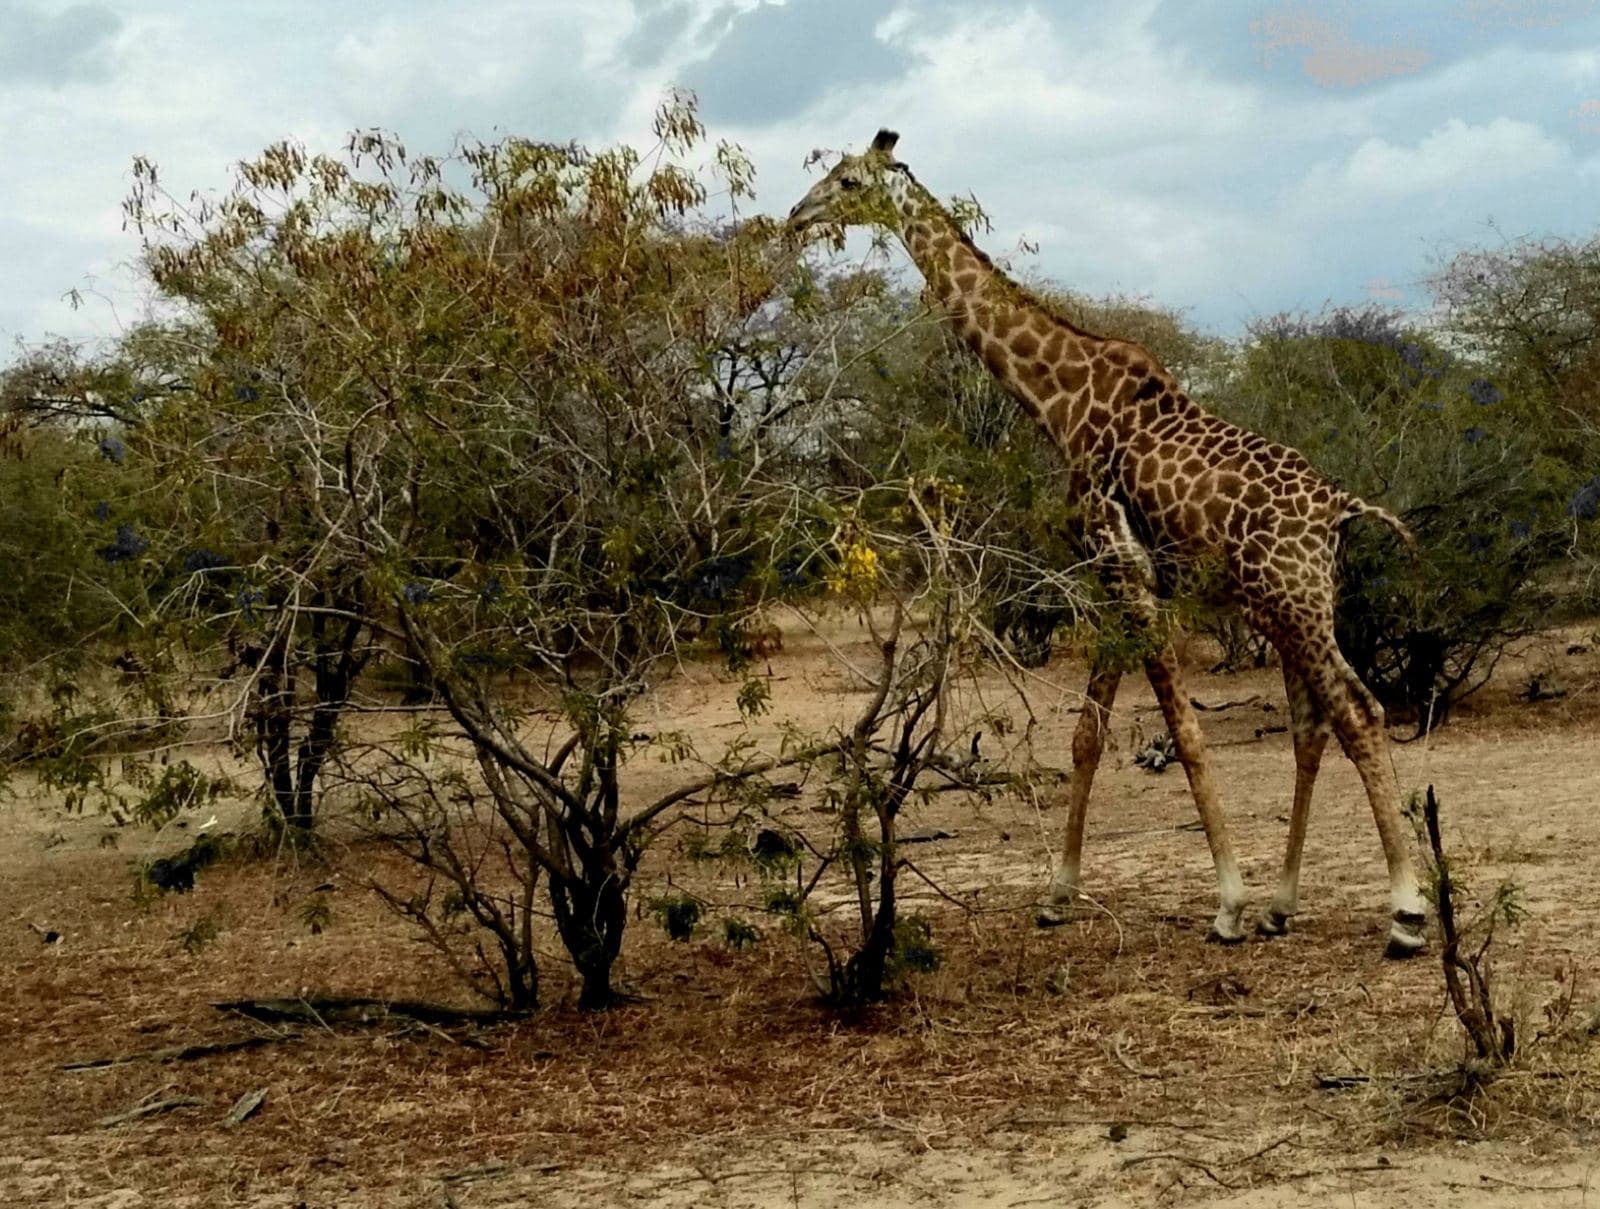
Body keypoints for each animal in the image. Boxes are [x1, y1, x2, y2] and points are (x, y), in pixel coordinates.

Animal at [786, 130, 1428, 957]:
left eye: (848, 179)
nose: (797, 215)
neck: (1059, 400)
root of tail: (1339, 510)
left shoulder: (1127, 570)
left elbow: (1184, 731)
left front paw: (1227, 905)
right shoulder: (1109, 581)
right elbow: (1087, 735)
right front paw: (1058, 896)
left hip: (1289, 597)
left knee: (1359, 712)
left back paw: (1405, 913)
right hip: (1291, 605)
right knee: (1316, 723)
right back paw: (1287, 904)